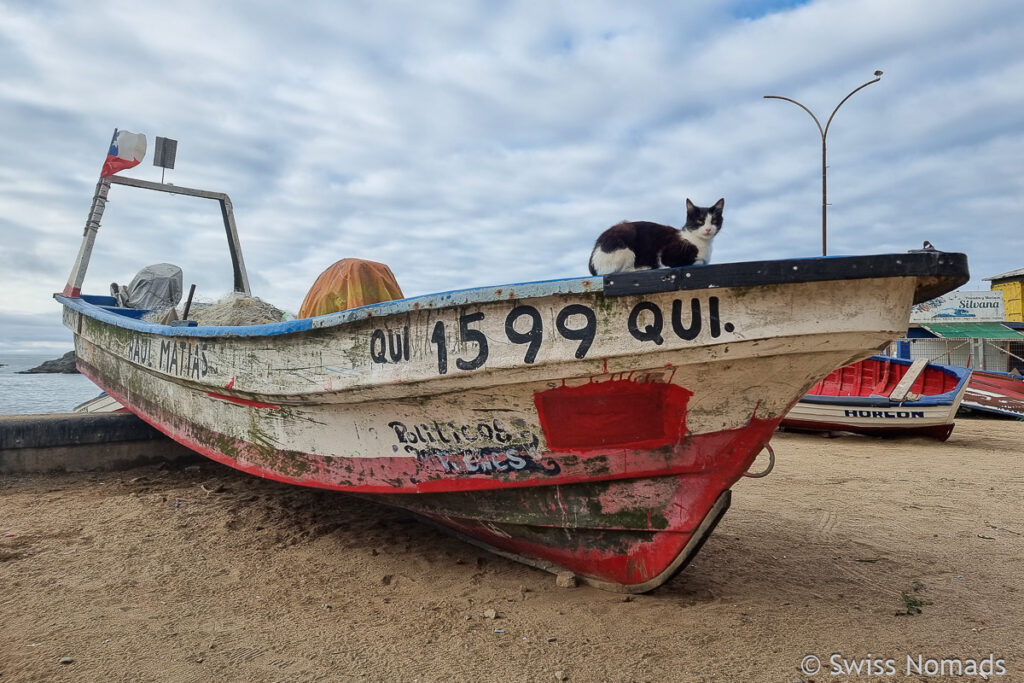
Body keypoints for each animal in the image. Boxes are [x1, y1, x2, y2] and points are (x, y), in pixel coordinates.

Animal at [589, 197, 724, 274]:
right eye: (700, 221)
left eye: (714, 221)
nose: (708, 229)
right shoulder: (668, 255)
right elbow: (697, 261)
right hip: (625, 245)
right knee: (618, 271)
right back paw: (643, 267)